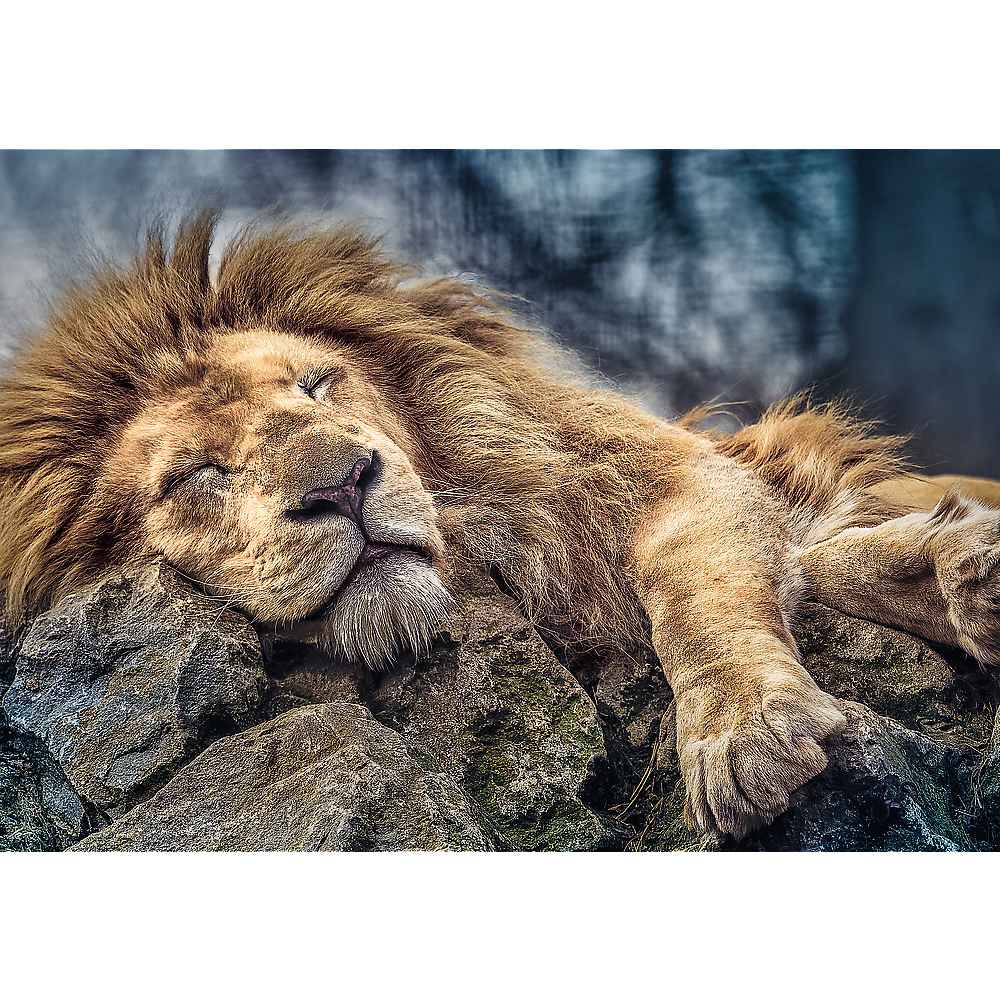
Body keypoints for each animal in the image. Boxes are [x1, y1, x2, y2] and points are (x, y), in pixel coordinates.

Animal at [1, 207, 998, 840]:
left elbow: (696, 591)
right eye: (197, 475)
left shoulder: (676, 475)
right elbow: (816, 560)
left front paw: (745, 727)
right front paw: (951, 570)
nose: (345, 484)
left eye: (316, 385)